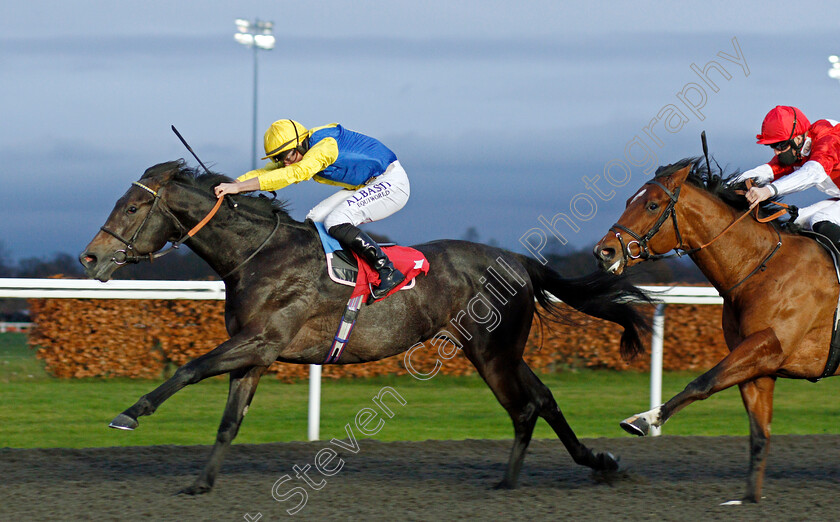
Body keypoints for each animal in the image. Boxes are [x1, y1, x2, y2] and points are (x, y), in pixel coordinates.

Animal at [80, 160, 648, 494]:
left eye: (133, 206)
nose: (91, 257)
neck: (257, 256)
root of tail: (517, 259)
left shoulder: (259, 340)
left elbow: (189, 368)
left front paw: (130, 414)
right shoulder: (255, 354)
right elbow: (229, 422)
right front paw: (201, 483)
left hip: (492, 351)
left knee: (524, 407)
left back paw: (509, 481)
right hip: (498, 349)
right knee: (544, 399)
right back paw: (599, 461)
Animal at [592, 156, 836, 502]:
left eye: (652, 205)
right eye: (628, 201)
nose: (604, 252)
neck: (761, 267)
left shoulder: (767, 346)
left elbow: (702, 383)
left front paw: (644, 419)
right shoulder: (758, 365)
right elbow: (759, 434)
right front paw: (749, 498)